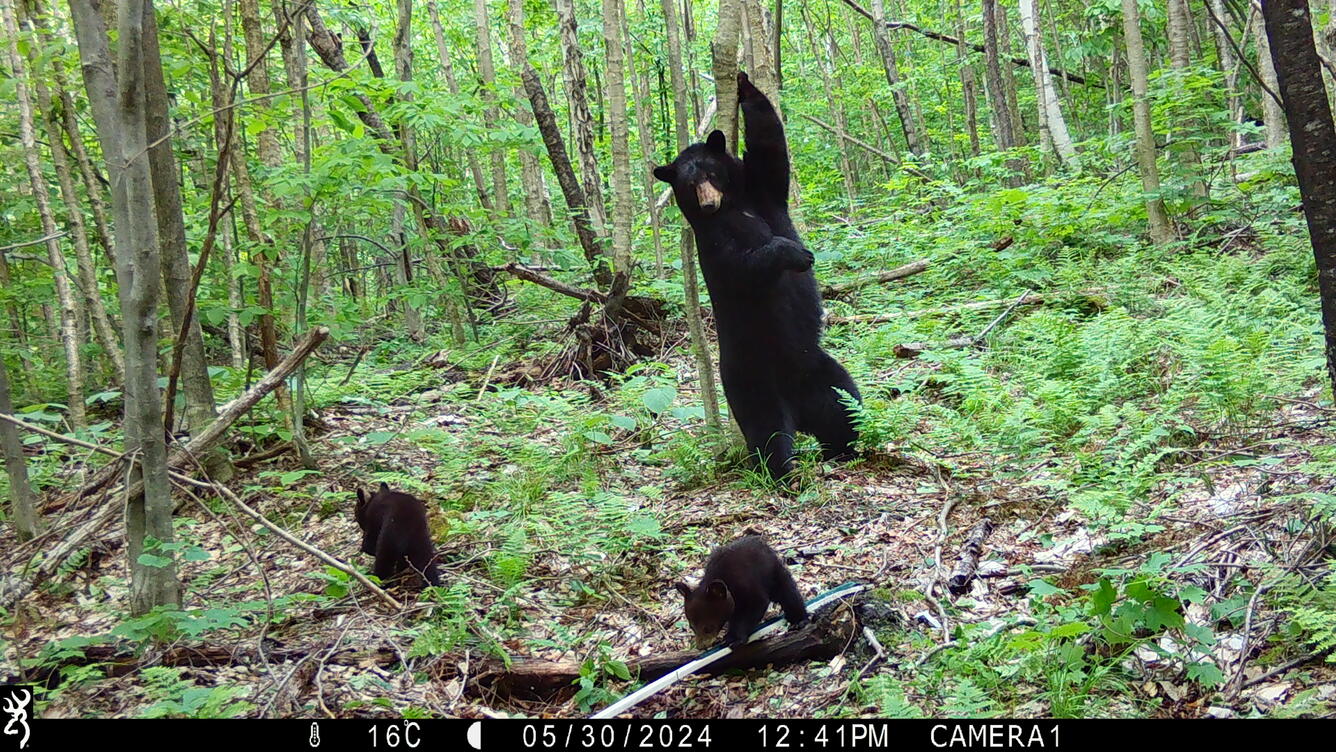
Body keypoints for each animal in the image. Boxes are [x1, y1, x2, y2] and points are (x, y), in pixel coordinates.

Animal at [653, 71, 861, 479]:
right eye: (689, 185)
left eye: (711, 173)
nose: (708, 203)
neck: (734, 206)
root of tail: (800, 413)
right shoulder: (712, 241)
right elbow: (741, 268)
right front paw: (795, 254)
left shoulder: (763, 190)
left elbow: (771, 148)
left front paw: (745, 84)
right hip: (749, 383)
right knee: (768, 435)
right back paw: (787, 472)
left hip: (819, 370)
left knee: (845, 405)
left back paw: (845, 449)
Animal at [674, 535, 808, 649]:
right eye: (692, 627)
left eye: (707, 628)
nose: (701, 647)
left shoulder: (747, 585)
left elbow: (754, 606)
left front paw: (733, 638)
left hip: (774, 574)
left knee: (788, 592)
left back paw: (798, 620)